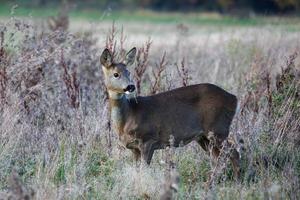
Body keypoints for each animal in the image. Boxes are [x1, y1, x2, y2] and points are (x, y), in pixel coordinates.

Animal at [101, 47, 241, 178]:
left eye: (128, 72)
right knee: (218, 158)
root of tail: (234, 98)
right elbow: (137, 171)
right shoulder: (134, 148)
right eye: (115, 74)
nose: (131, 86)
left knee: (233, 153)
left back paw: (236, 181)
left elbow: (144, 170)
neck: (129, 115)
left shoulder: (148, 139)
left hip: (218, 129)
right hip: (204, 137)